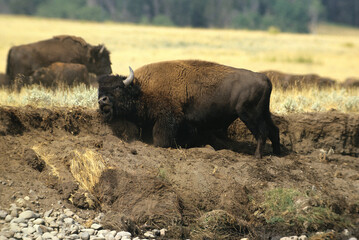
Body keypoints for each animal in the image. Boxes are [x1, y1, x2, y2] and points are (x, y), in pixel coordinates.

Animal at [97, 59, 282, 158]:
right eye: (100, 89)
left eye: (118, 87)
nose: (102, 100)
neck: (141, 88)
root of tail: (263, 78)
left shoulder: (167, 119)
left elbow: (161, 138)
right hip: (263, 112)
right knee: (274, 130)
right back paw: (278, 154)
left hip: (249, 114)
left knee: (262, 132)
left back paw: (257, 156)